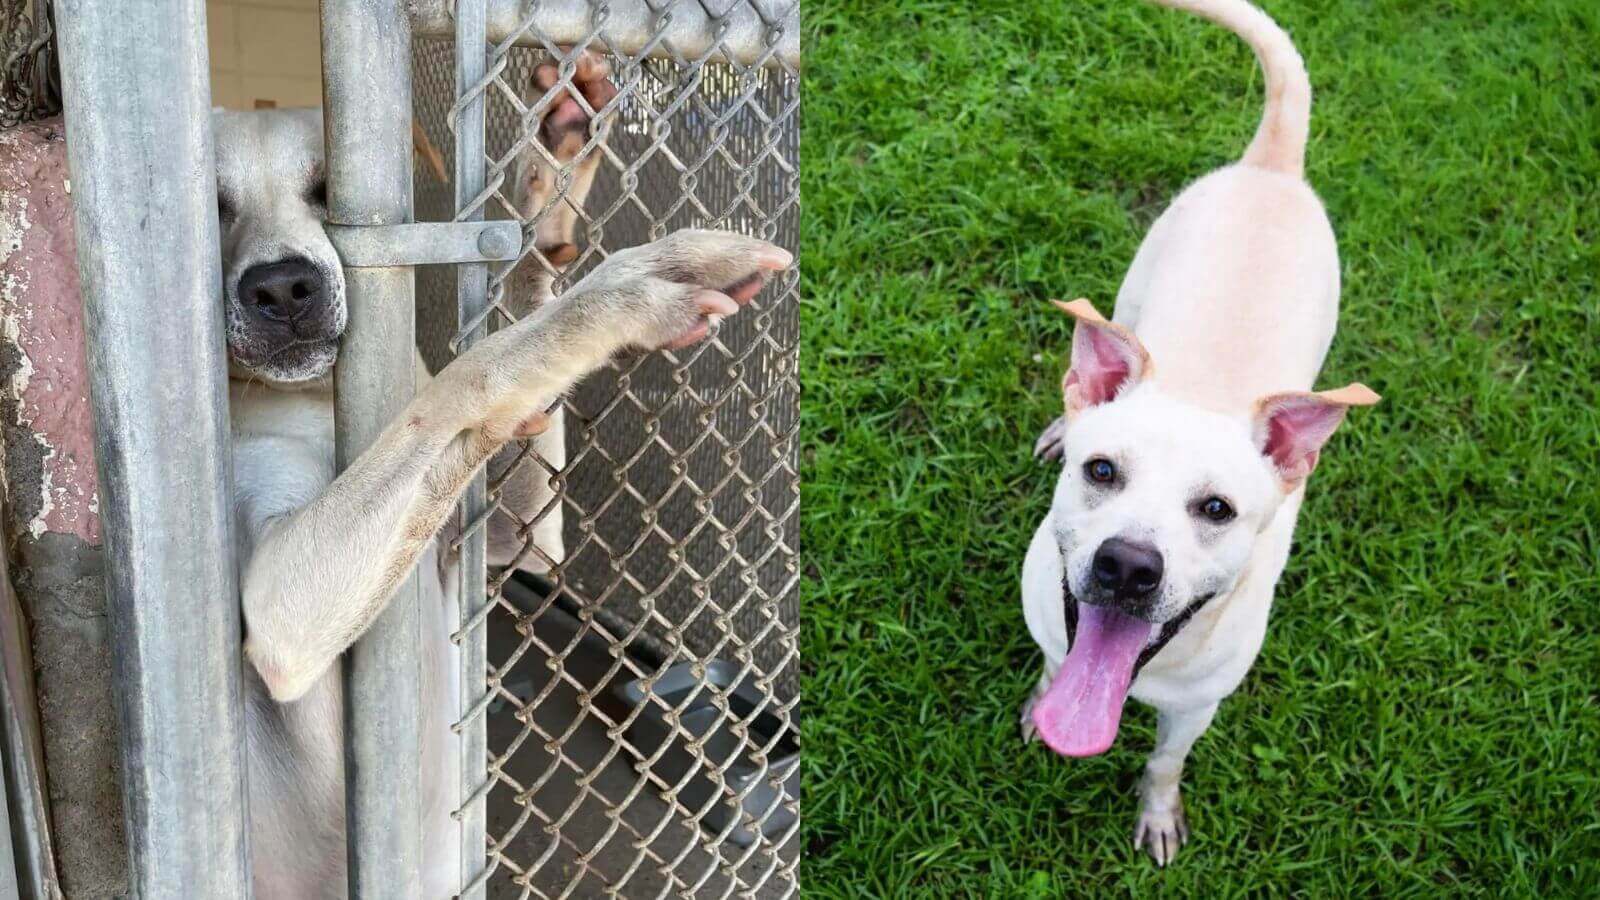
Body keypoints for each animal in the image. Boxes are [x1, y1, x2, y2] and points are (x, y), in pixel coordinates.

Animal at [212, 54, 787, 890]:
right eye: (210, 205)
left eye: (326, 190)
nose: (283, 287)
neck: (310, 396)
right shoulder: (281, 607)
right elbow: (475, 372)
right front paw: (624, 292)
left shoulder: (511, 536)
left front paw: (553, 171)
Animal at [1024, 0, 1376, 864]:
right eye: (1102, 471)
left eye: (1217, 509)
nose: (1127, 566)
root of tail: (1272, 164)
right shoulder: (1050, 630)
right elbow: (1049, 671)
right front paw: (1037, 709)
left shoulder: (1196, 710)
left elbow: (1164, 762)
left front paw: (1157, 814)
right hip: (1131, 289)